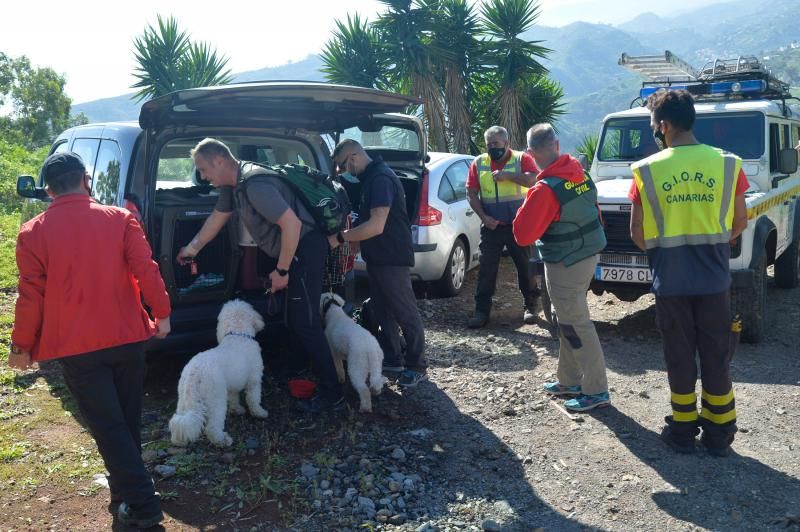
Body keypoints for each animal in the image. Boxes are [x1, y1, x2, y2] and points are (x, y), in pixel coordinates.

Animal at [169, 300, 268, 444]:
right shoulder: (254, 380)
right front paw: (259, 413)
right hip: (216, 399)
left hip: (184, 397)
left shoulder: (232, 385)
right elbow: (253, 399)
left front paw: (237, 410)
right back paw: (222, 440)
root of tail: (195, 372)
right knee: (212, 427)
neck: (237, 334)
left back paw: (179, 440)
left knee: (180, 420)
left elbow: (234, 398)